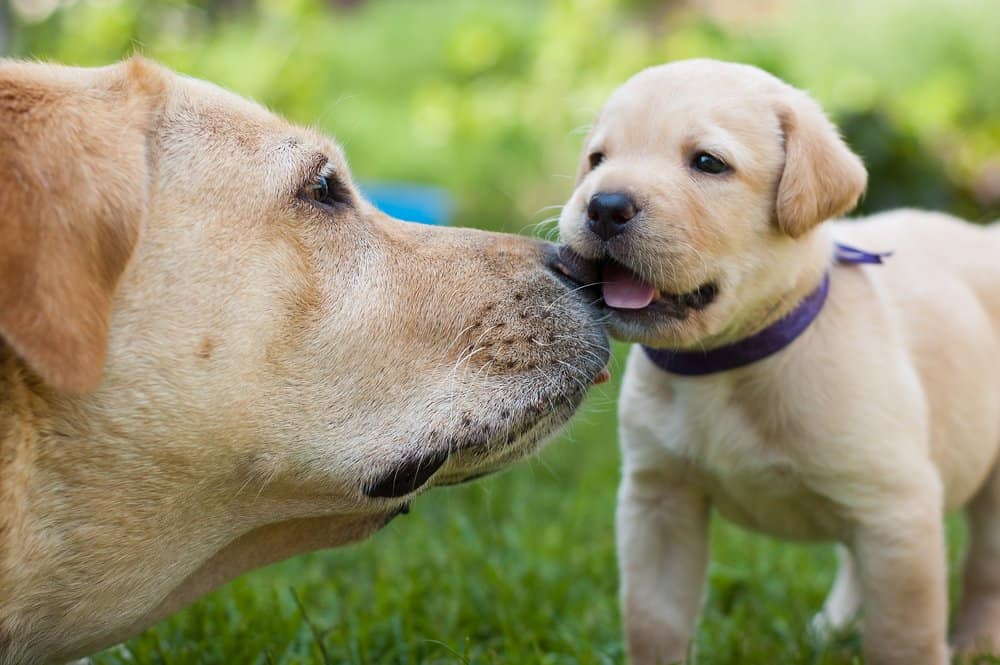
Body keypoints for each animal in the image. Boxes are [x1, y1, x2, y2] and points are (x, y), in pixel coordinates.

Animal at [560, 58, 1000, 664]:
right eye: (597, 160)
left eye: (707, 162)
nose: (603, 206)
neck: (726, 364)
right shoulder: (658, 502)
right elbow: (653, 621)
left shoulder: (899, 512)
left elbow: (901, 637)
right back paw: (835, 626)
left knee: (985, 567)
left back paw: (979, 641)